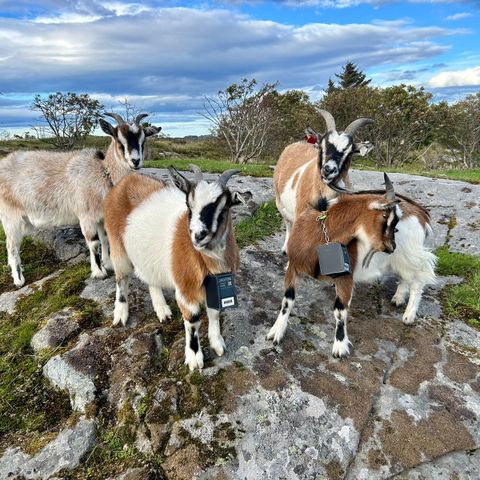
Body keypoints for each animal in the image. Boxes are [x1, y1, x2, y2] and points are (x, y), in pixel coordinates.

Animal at [0, 112, 161, 284]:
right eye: (119, 140)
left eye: (143, 140)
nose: (135, 161)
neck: (104, 174)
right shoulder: (86, 216)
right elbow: (94, 242)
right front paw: (99, 272)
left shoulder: (101, 217)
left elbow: (105, 239)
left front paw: (108, 264)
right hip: (10, 217)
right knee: (11, 245)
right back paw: (18, 280)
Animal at [103, 165, 249, 372]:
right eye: (188, 205)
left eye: (223, 207)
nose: (198, 235)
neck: (209, 261)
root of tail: (126, 180)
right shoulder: (185, 290)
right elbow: (193, 320)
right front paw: (194, 358)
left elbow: (214, 312)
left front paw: (217, 343)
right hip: (117, 246)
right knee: (121, 278)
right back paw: (121, 314)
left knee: (150, 278)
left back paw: (162, 311)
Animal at [268, 174, 436, 358]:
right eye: (386, 218)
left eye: (396, 225)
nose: (391, 247)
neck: (319, 235)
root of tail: (421, 213)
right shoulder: (294, 266)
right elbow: (287, 300)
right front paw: (276, 332)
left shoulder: (345, 277)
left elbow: (340, 311)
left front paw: (340, 347)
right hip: (399, 260)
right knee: (405, 277)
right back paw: (398, 299)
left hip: (410, 255)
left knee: (419, 277)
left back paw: (408, 315)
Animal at [274, 110, 372, 255]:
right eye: (322, 145)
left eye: (350, 152)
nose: (328, 170)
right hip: (280, 202)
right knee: (288, 223)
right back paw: (285, 248)